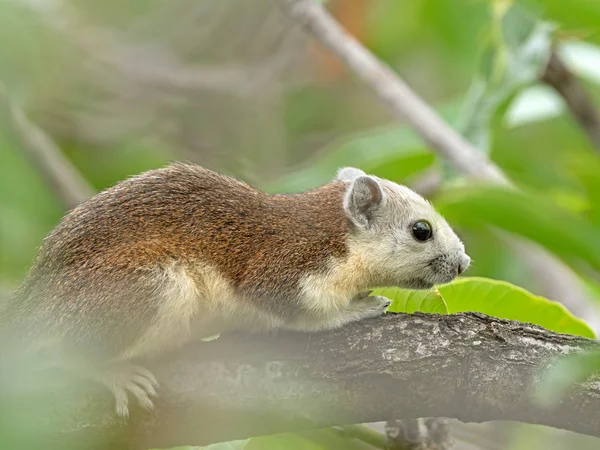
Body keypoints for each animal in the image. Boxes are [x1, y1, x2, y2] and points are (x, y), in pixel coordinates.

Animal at [0, 163, 468, 416]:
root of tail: (33, 301)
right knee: (66, 352)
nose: (464, 263)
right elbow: (308, 312)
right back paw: (111, 373)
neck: (334, 235)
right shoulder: (284, 270)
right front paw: (361, 307)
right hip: (152, 285)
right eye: (421, 230)